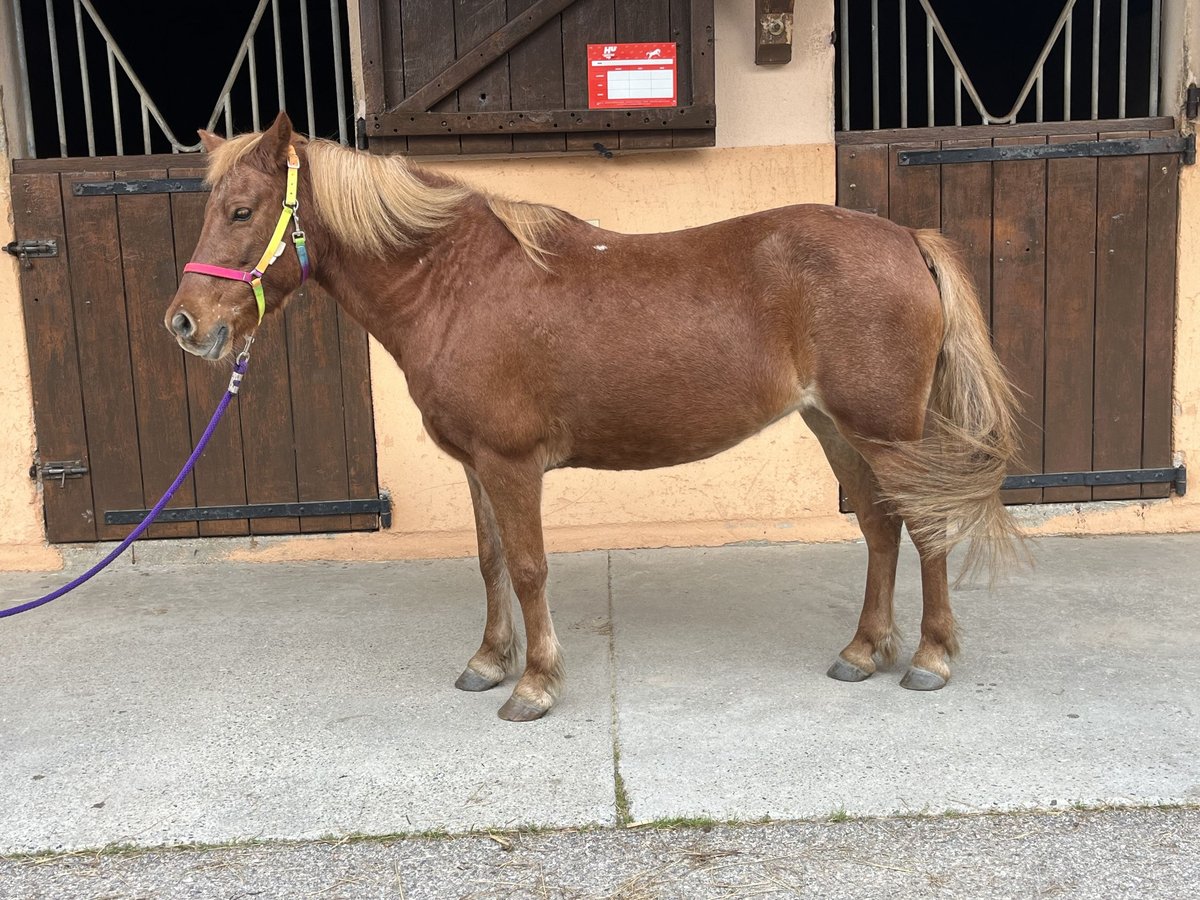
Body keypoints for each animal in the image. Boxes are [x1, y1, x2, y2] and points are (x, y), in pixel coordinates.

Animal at [164, 112, 1017, 724]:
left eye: (241, 210)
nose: (184, 323)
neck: (454, 284)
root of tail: (907, 239)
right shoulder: (474, 464)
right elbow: (490, 562)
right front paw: (488, 662)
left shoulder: (510, 463)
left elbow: (530, 567)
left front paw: (535, 685)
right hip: (836, 427)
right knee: (880, 524)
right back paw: (864, 650)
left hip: (886, 432)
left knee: (925, 527)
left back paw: (930, 661)